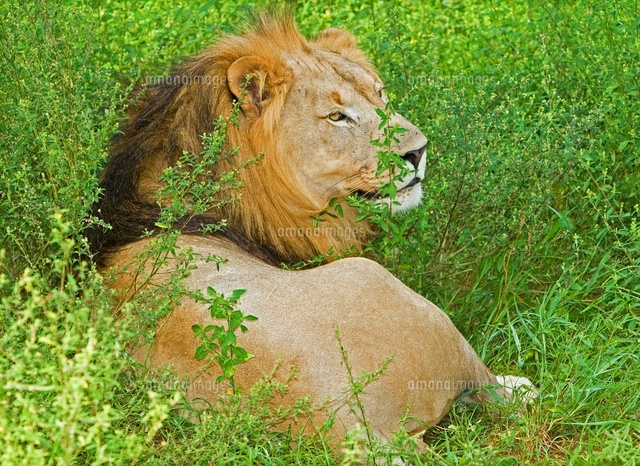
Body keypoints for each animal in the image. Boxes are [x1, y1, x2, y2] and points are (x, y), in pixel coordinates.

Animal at [88, 14, 533, 449]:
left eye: (380, 94)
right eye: (337, 117)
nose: (419, 151)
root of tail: (355, 425)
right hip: (397, 293)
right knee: (497, 393)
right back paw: (521, 385)